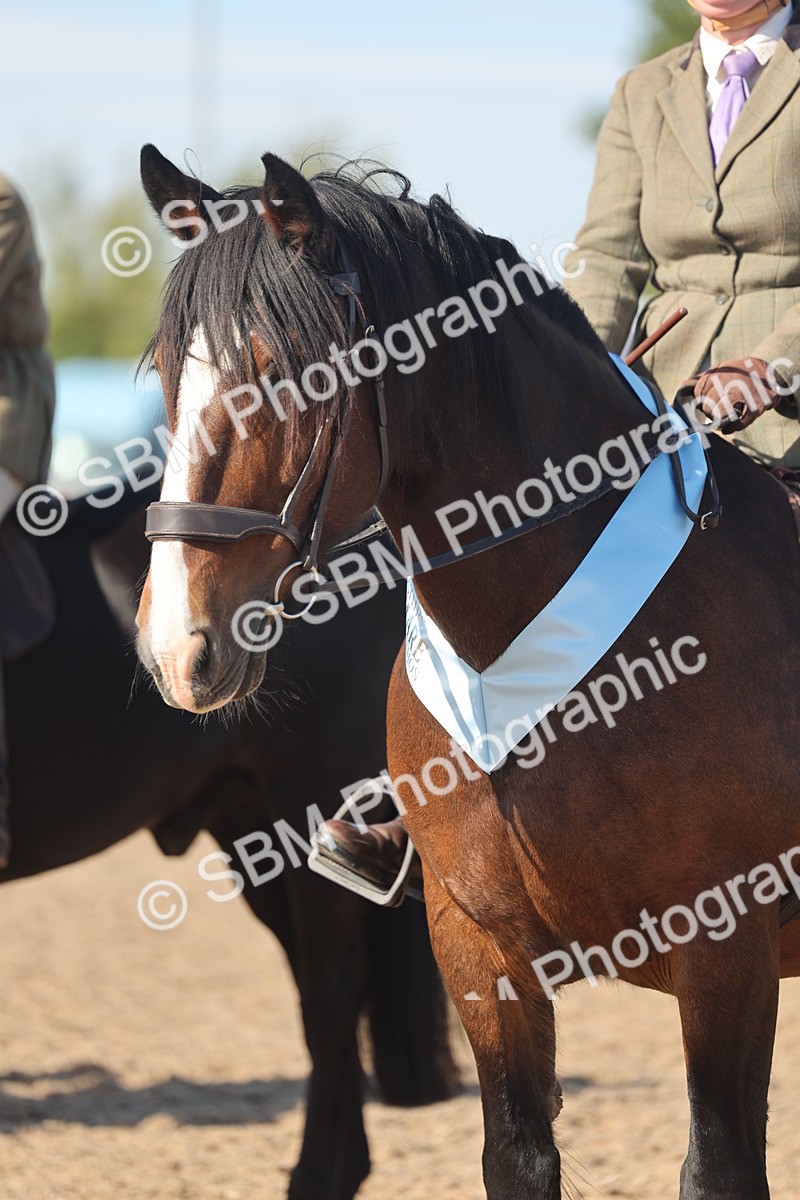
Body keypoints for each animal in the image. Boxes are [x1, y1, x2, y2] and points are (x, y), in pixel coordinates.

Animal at [135, 142, 800, 1200]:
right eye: (167, 371)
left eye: (282, 374)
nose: (176, 647)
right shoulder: (478, 948)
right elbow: (518, 1156)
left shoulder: (725, 945)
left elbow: (720, 1165)